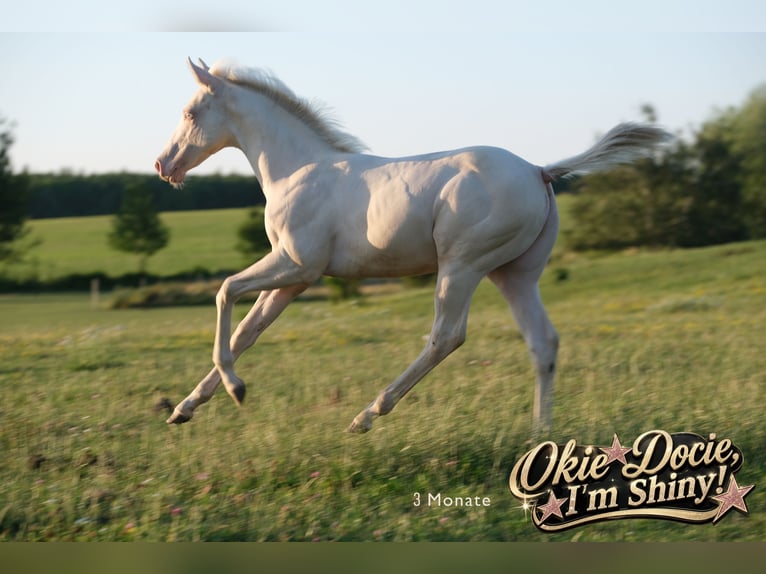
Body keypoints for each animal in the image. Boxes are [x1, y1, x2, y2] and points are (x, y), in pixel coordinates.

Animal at [155, 58, 671, 434]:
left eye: (189, 113)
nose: (163, 165)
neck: (297, 169)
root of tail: (539, 170)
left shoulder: (296, 266)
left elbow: (225, 291)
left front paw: (236, 389)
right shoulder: (291, 282)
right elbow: (247, 332)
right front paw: (184, 408)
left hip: (463, 265)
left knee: (446, 336)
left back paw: (367, 414)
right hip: (516, 274)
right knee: (542, 342)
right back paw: (540, 435)